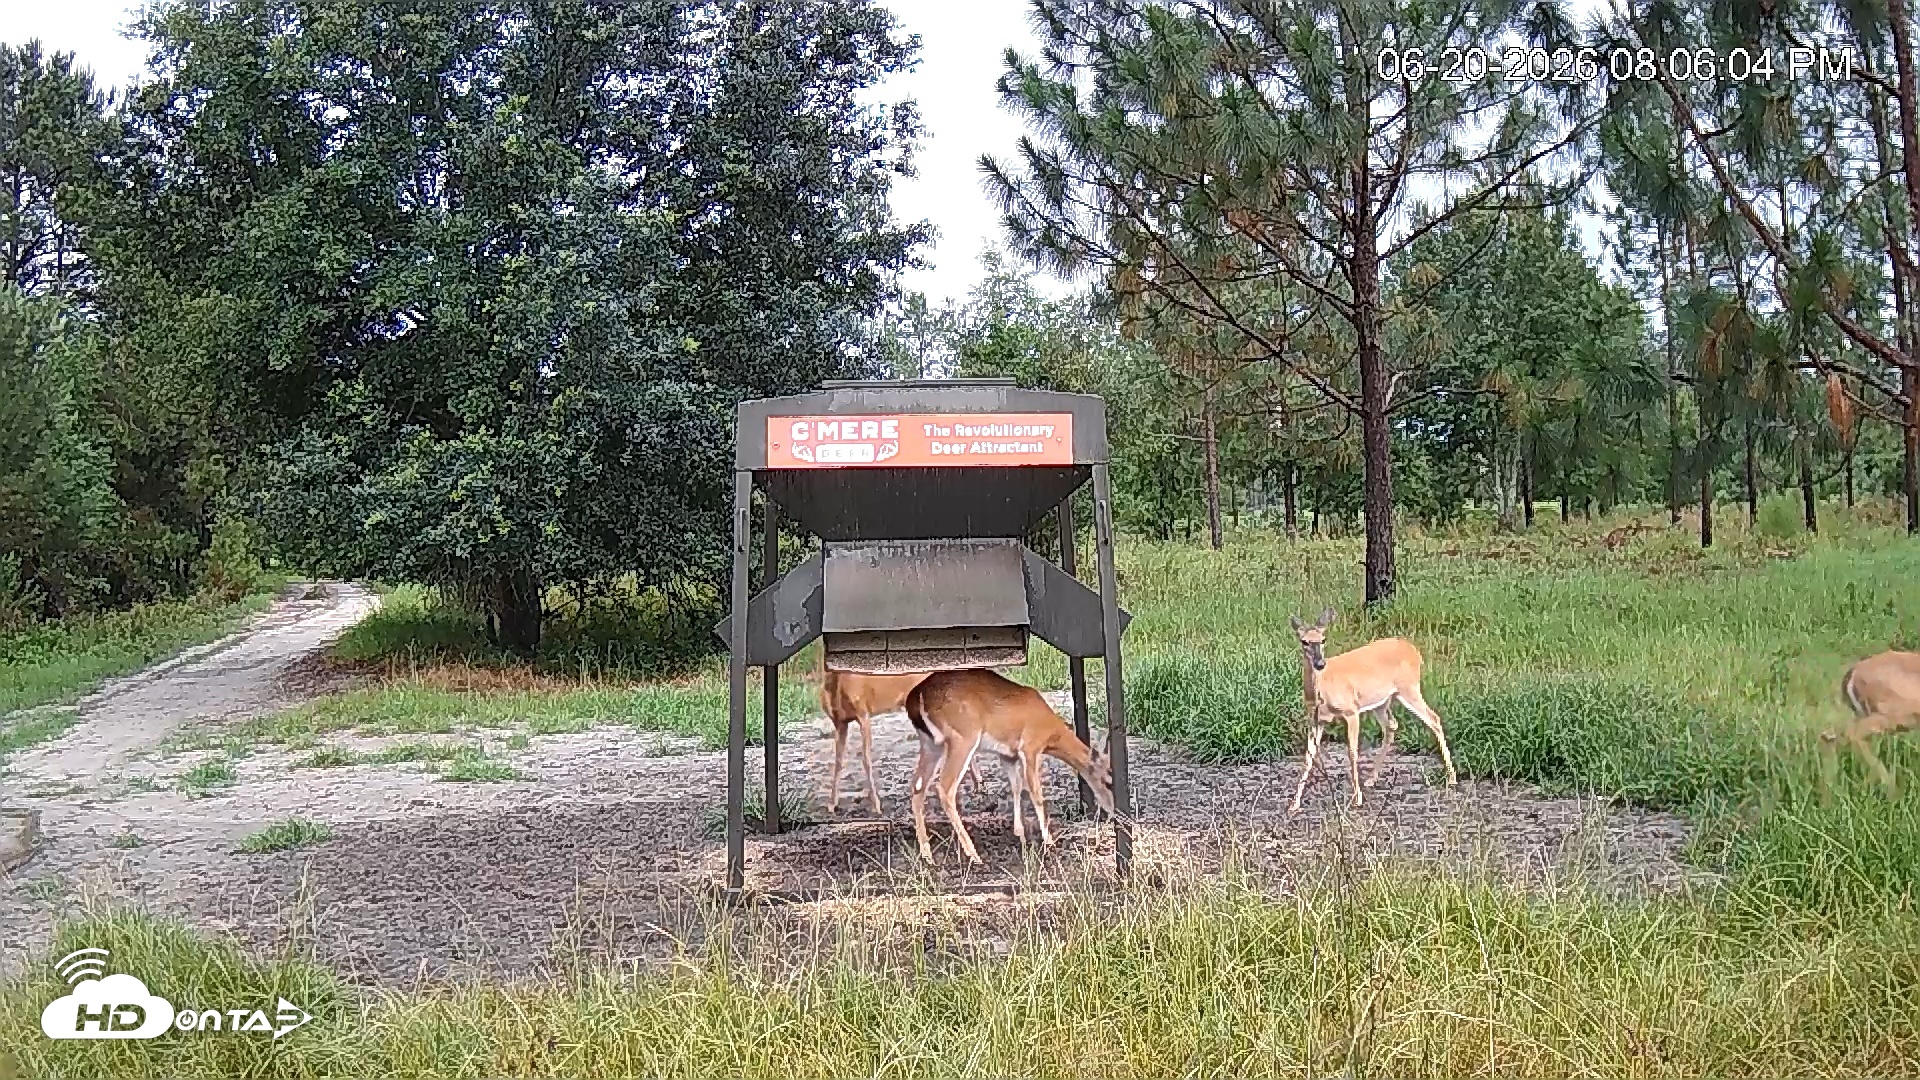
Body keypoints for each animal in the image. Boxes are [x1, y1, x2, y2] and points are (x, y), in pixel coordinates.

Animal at [819, 669, 984, 814]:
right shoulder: (839, 722)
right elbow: (838, 762)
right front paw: (831, 805)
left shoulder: (863, 714)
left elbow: (866, 760)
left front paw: (876, 806)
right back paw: (977, 785)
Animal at [903, 667, 1115, 865]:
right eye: (1109, 781)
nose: (1113, 811)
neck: (1050, 733)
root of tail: (917, 697)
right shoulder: (1030, 747)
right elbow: (1036, 794)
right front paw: (1048, 841)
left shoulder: (1008, 755)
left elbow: (1016, 787)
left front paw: (1020, 833)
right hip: (963, 737)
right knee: (945, 788)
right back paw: (973, 854)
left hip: (931, 743)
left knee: (917, 786)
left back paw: (927, 853)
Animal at [1289, 608, 1457, 812]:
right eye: (1304, 641)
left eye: (1323, 639)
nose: (1320, 663)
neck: (1322, 691)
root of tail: (1413, 650)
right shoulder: (1315, 719)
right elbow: (1308, 755)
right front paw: (1294, 803)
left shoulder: (1351, 711)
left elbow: (1352, 752)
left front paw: (1357, 798)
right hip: (1381, 701)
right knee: (1392, 725)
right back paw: (1371, 778)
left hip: (1409, 687)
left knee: (1434, 718)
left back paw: (1452, 778)